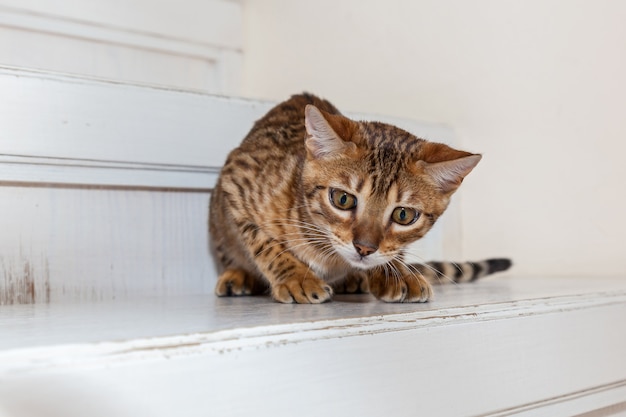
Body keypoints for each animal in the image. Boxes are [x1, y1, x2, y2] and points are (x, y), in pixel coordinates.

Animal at [207, 93, 510, 302]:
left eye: (403, 215)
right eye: (343, 199)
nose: (364, 248)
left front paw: (396, 273)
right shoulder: (235, 180)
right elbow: (264, 243)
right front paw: (297, 278)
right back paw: (239, 275)